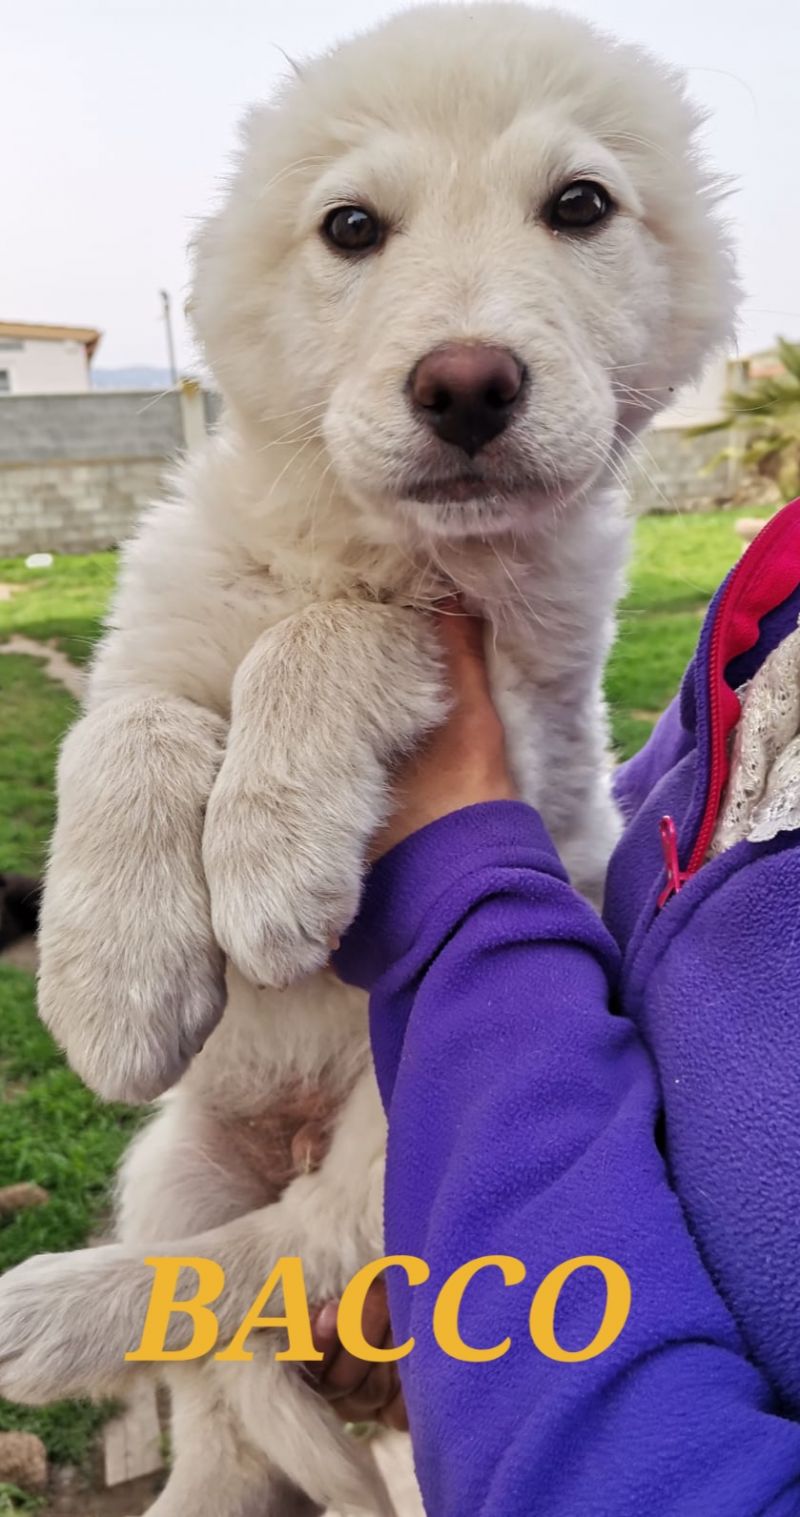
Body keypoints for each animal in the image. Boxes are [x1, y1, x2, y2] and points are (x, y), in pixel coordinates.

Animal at [0, 5, 734, 1510]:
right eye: (350, 227)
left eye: (580, 206)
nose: (466, 384)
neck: (359, 536)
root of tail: (287, 1121)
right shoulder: (161, 624)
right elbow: (133, 725)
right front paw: (116, 974)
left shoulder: (527, 710)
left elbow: (337, 635)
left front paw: (268, 857)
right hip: (179, 1152)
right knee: (222, 1370)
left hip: (390, 1147)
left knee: (270, 1260)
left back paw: (51, 1315)